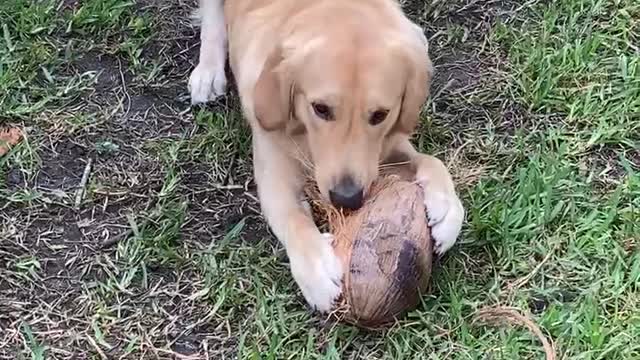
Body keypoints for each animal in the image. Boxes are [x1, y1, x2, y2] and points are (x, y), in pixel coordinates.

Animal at [188, 0, 462, 312]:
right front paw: (316, 269)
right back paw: (208, 71)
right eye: (320, 108)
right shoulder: (274, 172)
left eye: (380, 115)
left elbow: (432, 161)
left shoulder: (384, 149)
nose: (347, 198)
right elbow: (293, 219)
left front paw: (447, 208)